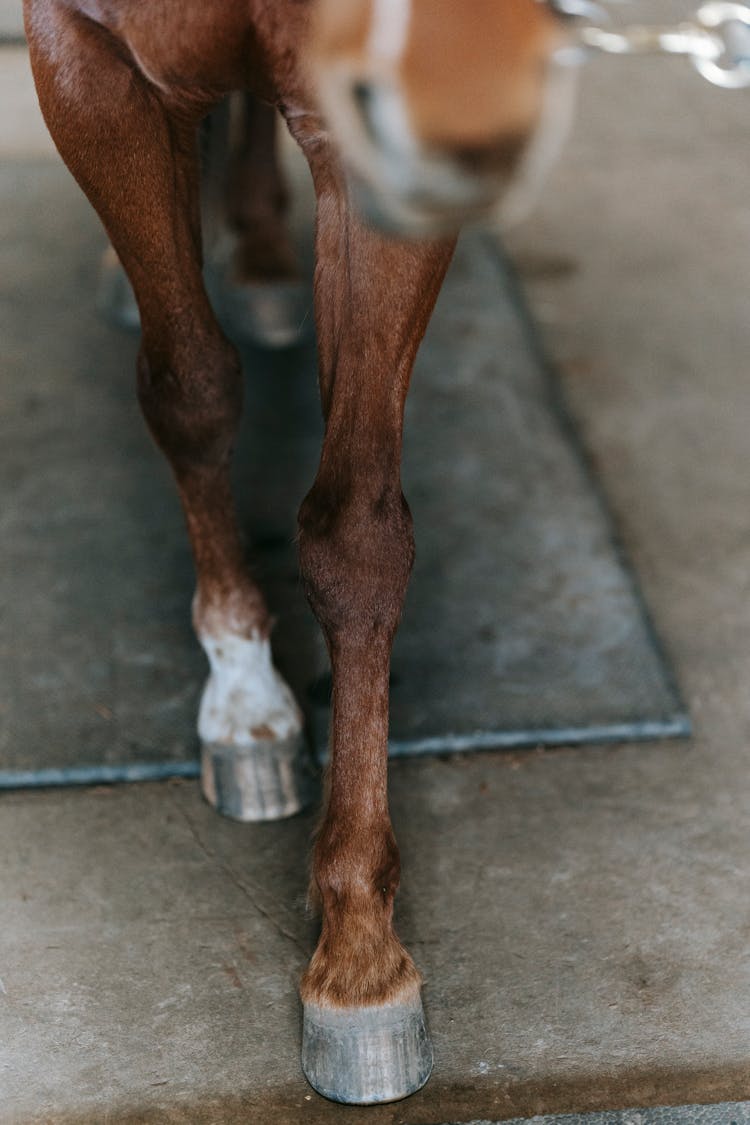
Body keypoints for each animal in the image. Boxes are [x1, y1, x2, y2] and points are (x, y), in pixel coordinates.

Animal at [22, 0, 562, 1107]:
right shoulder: (90, 67)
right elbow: (190, 390)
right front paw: (244, 692)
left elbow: (356, 534)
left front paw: (360, 955)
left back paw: (265, 250)